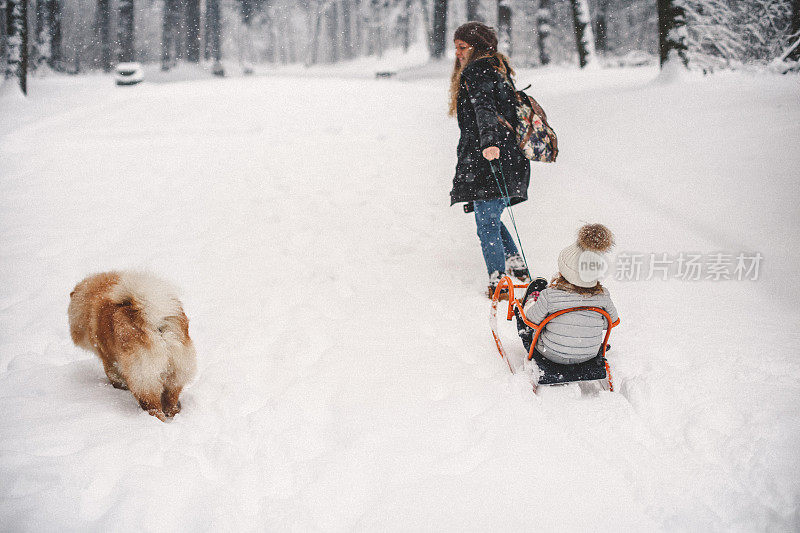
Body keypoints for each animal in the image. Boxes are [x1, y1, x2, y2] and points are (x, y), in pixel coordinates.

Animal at [70, 272, 198, 422]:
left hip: (144, 375)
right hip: (176, 372)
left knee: (153, 406)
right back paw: (173, 413)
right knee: (170, 400)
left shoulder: (108, 359)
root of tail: (158, 323)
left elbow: (114, 376)